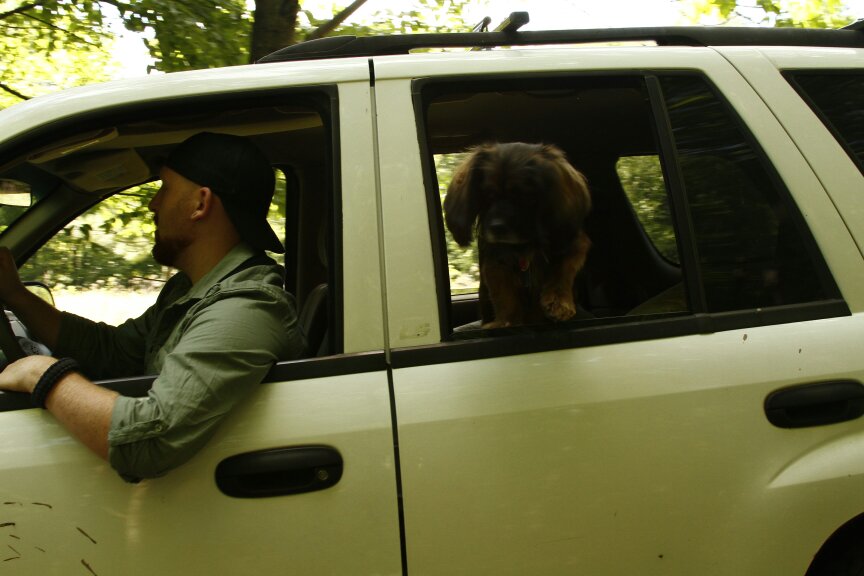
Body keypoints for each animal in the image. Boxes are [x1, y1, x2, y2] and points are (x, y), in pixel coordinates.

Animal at [444, 142, 591, 328]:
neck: (523, 245)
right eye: (489, 195)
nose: (496, 227)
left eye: (524, 197)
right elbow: (505, 294)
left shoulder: (575, 244)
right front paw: (507, 322)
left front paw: (558, 301)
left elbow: (564, 268)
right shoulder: (496, 261)